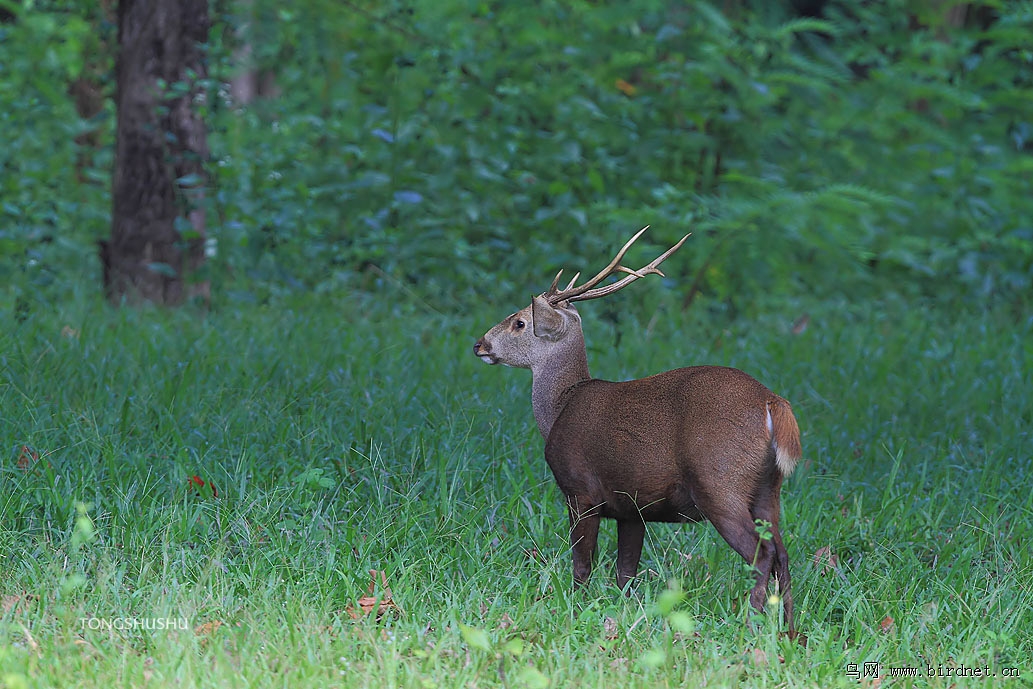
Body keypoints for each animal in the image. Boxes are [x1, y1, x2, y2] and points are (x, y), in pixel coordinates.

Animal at [473, 229, 801, 640]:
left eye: (519, 322)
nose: (479, 344)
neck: (561, 404)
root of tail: (772, 403)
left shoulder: (580, 490)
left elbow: (583, 564)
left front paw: (574, 610)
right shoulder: (632, 507)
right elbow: (625, 573)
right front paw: (624, 616)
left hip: (719, 479)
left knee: (763, 554)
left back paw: (750, 625)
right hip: (768, 488)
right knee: (783, 553)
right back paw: (790, 631)